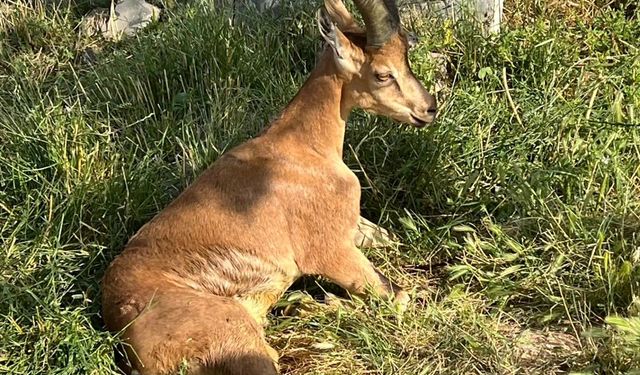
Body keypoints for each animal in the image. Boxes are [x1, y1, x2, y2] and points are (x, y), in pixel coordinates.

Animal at [101, 1, 436, 374]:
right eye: (382, 73)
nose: (428, 109)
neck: (303, 146)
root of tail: (121, 322)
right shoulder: (331, 250)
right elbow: (398, 295)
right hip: (239, 339)